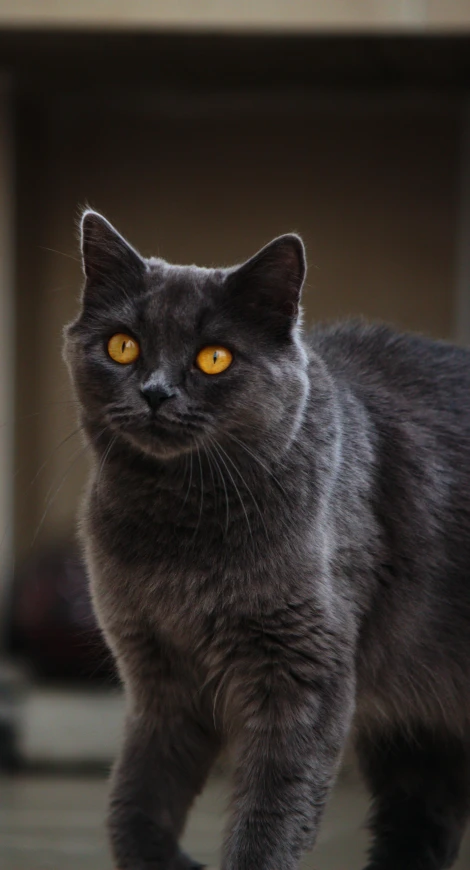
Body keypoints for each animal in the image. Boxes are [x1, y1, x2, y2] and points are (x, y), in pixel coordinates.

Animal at [64, 213, 470, 870]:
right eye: (123, 345)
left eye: (214, 357)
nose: (155, 392)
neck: (178, 534)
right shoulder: (158, 677)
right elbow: (137, 794)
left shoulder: (303, 672)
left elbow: (272, 814)